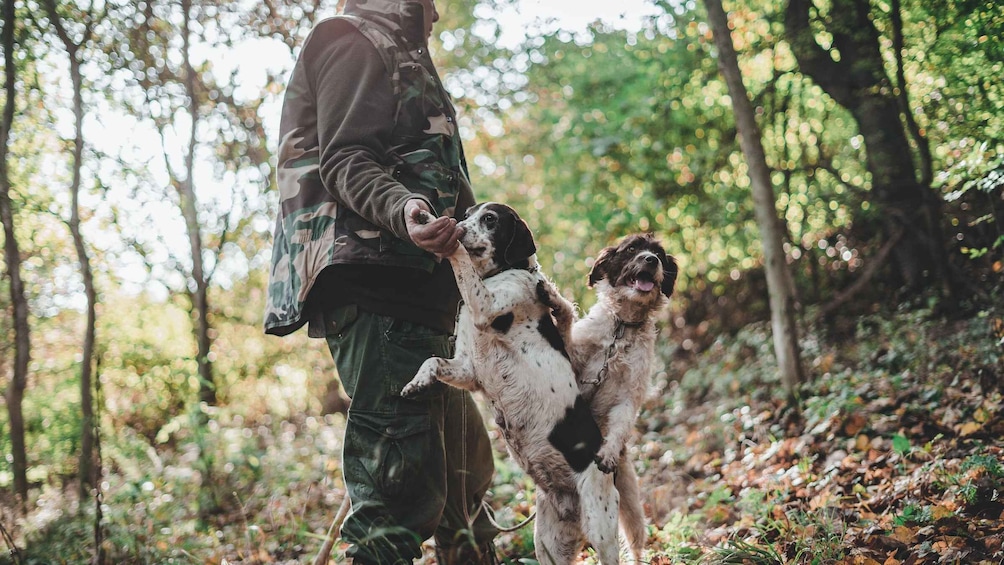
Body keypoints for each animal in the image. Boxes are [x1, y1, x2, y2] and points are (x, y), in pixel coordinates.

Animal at [397, 204, 618, 565]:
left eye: (490, 219)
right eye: (468, 213)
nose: (457, 225)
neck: (499, 274)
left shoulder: (485, 305)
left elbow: (459, 256)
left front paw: (436, 229)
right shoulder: (467, 369)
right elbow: (432, 362)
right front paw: (417, 383)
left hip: (600, 527)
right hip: (547, 543)